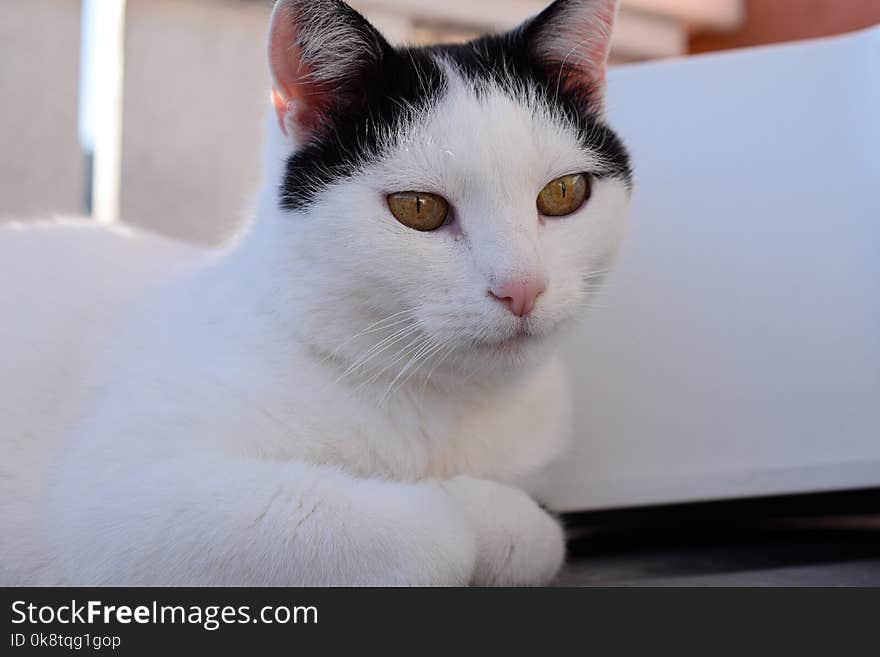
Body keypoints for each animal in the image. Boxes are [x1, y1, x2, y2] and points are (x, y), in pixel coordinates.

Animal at [0, 0, 632, 584]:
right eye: (418, 208)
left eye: (563, 194)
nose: (522, 287)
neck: (442, 405)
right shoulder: (122, 496)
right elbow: (440, 530)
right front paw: (464, 509)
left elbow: (541, 537)